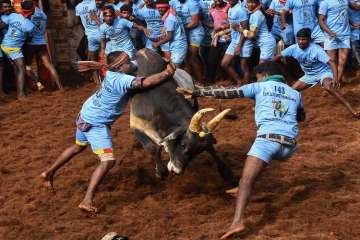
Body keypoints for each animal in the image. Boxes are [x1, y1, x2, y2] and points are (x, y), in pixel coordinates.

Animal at [129, 48, 236, 183]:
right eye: (183, 144)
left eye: (197, 152)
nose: (177, 170)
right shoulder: (136, 126)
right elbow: (152, 148)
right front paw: (160, 172)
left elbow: (210, 147)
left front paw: (226, 171)